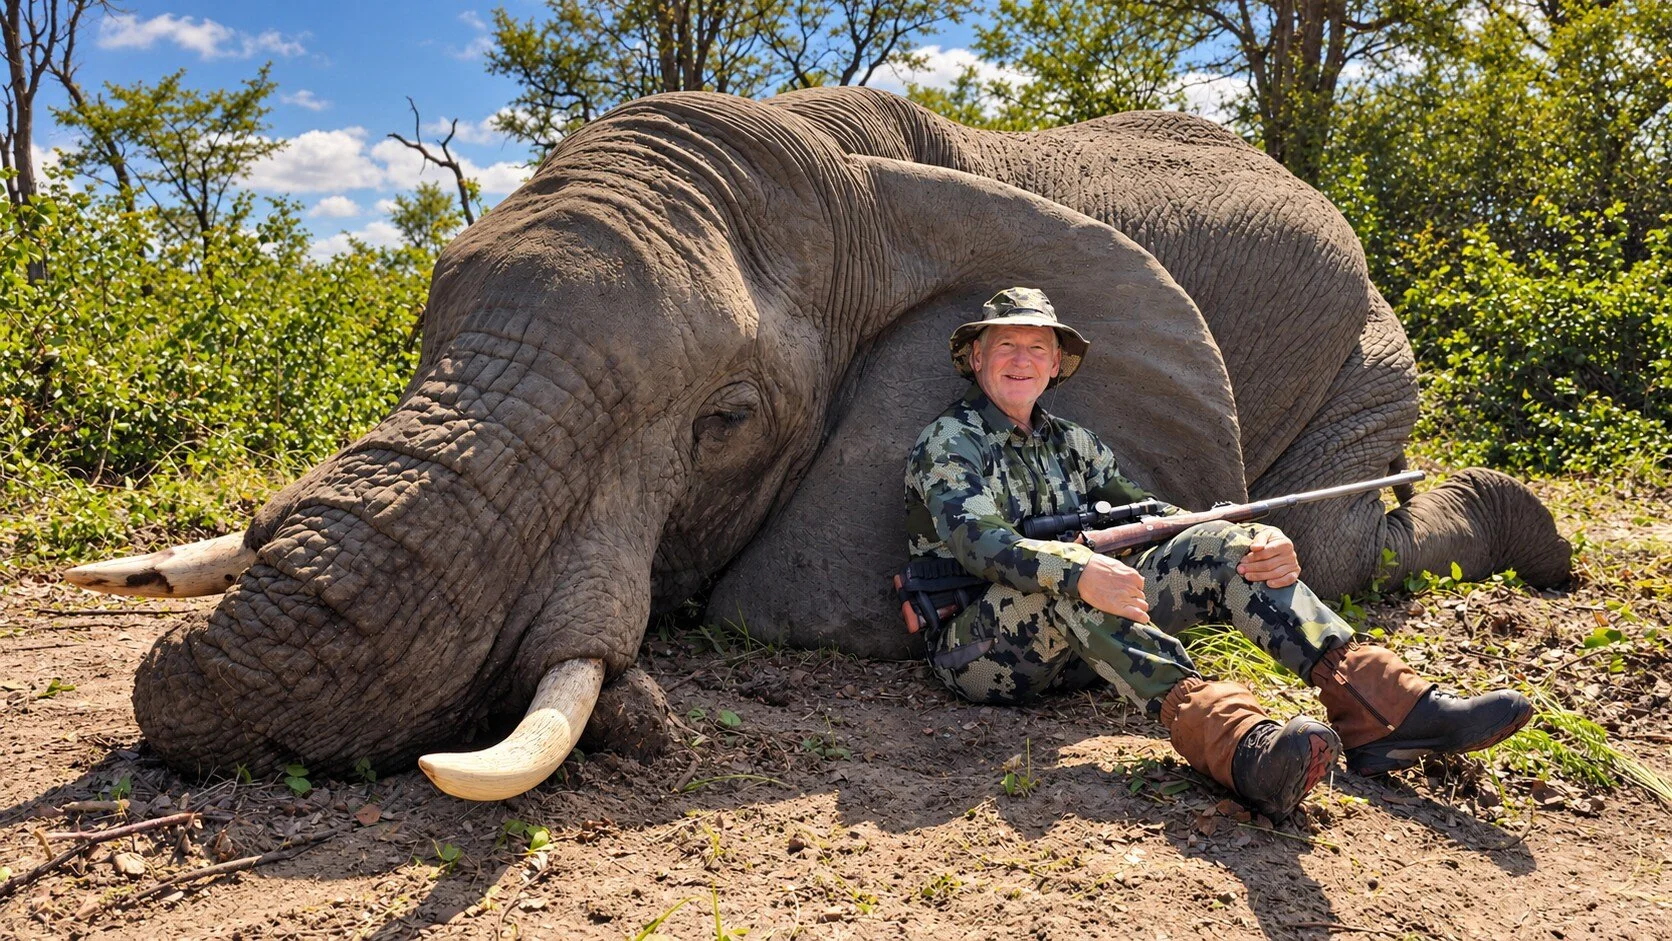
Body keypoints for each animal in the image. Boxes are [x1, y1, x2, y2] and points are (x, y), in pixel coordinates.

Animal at [67, 87, 1570, 800]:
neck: (841, 168)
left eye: (725, 421)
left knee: (1329, 537)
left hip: (1371, 344)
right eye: (423, 331)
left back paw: (1529, 565)